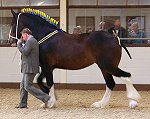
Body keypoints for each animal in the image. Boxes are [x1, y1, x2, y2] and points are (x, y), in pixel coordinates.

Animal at [9, 8, 141, 109]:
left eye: (13, 24)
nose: (10, 41)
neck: (45, 36)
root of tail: (115, 38)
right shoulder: (49, 68)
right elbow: (40, 81)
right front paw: (48, 99)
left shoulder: (47, 67)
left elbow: (49, 82)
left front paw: (51, 102)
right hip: (105, 68)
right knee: (111, 83)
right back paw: (100, 104)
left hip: (107, 66)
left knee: (126, 76)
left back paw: (133, 101)